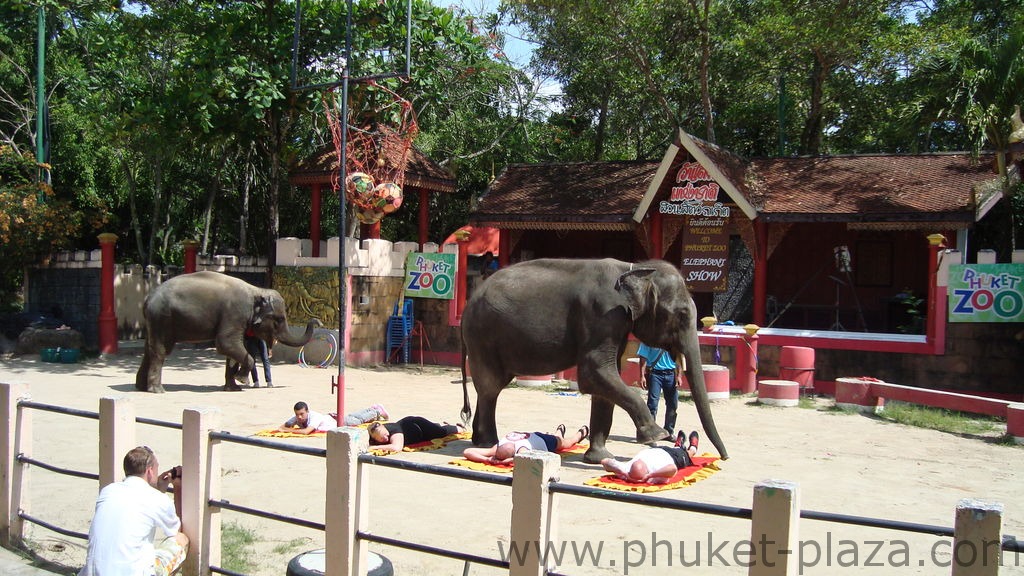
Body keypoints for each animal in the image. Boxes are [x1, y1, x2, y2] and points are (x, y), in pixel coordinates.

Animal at [136, 270, 319, 391]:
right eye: (279, 319)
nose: (317, 321)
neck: (256, 290)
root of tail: (148, 298)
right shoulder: (235, 313)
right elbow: (225, 344)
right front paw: (242, 380)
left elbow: (232, 352)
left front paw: (233, 388)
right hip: (162, 318)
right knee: (160, 350)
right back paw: (157, 390)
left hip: (156, 321)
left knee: (149, 349)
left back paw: (141, 387)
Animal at [460, 256, 733, 461]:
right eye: (682, 314)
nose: (725, 457)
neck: (635, 268)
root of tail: (468, 304)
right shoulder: (603, 314)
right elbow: (594, 373)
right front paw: (658, 436)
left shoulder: (618, 323)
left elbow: (606, 382)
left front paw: (599, 457)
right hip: (482, 336)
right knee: (491, 387)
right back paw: (488, 442)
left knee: (491, 388)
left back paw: (480, 440)